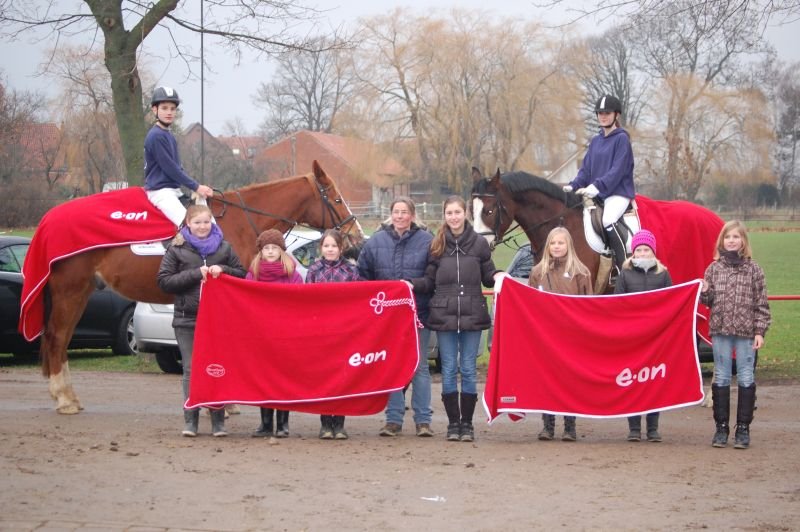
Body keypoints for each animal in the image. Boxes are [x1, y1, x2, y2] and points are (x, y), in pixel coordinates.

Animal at [32, 160, 364, 414]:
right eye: (336, 199)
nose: (357, 238)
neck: (240, 222)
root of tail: (49, 219)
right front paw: (222, 404)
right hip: (70, 292)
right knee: (57, 338)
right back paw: (64, 399)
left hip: (80, 292)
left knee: (60, 339)